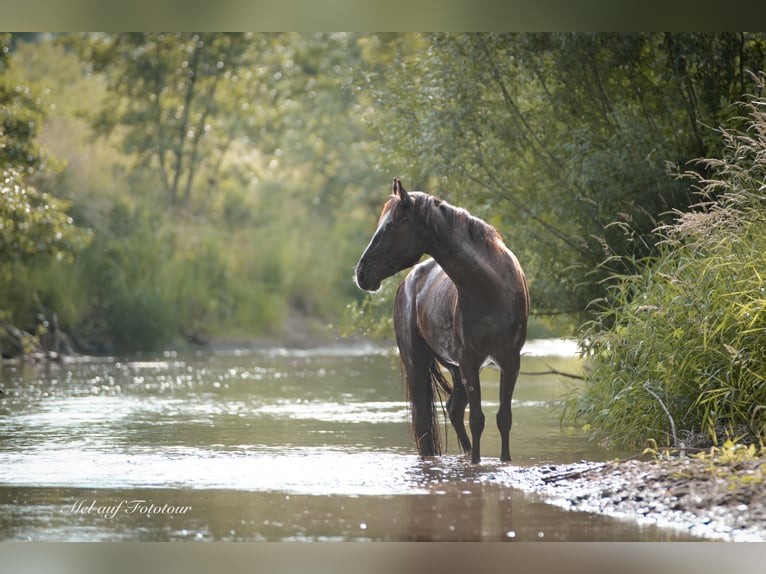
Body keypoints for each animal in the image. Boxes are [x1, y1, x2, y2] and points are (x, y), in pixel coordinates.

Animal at [355, 178, 529, 464]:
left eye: (391, 225)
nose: (361, 273)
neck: (491, 287)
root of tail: (409, 281)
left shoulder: (510, 360)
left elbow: (503, 418)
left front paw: (504, 461)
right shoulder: (470, 361)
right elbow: (478, 420)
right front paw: (476, 463)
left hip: (456, 369)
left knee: (454, 410)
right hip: (418, 362)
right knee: (424, 423)